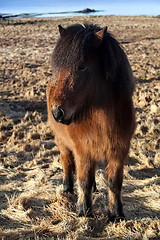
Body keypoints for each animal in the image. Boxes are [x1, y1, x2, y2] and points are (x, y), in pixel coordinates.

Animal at [47, 23, 136, 220]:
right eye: (58, 66)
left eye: (82, 66)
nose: (57, 112)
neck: (102, 120)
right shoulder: (83, 151)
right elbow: (84, 181)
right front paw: (85, 212)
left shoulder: (119, 151)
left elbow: (114, 182)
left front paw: (117, 214)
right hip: (61, 141)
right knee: (66, 162)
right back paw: (67, 187)